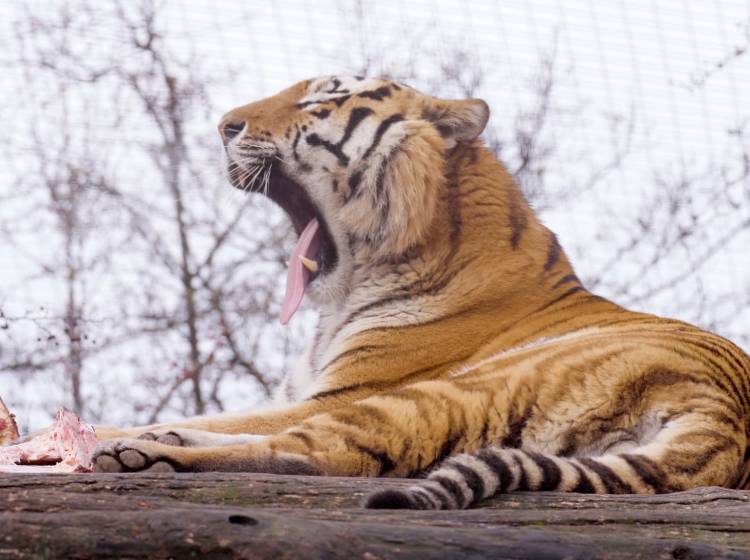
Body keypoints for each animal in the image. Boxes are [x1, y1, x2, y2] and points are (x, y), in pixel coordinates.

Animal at [89, 75, 750, 512]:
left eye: (321, 100)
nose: (225, 124)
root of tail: (725, 423)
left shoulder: (345, 390)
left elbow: (236, 423)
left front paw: (100, 430)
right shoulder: (303, 392)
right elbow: (221, 417)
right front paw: (152, 426)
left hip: (447, 393)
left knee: (318, 456)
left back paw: (139, 452)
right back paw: (155, 441)